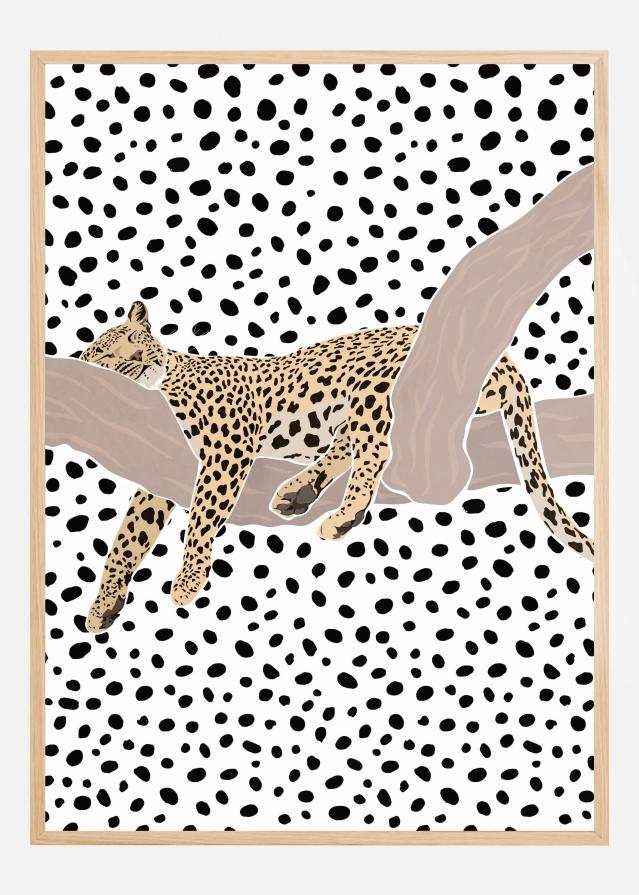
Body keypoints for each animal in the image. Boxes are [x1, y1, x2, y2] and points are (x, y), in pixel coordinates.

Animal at [79, 300, 594, 632]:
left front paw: (187, 580)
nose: (140, 358)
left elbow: (202, 516)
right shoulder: (159, 471)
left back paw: (342, 515)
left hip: (375, 384)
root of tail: (503, 357)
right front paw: (104, 605)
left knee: (374, 448)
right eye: (107, 355)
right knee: (354, 442)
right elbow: (129, 536)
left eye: (135, 339)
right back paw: (299, 492)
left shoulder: (228, 447)